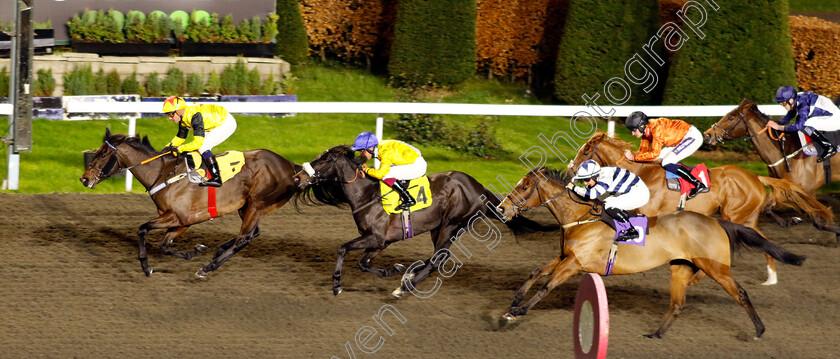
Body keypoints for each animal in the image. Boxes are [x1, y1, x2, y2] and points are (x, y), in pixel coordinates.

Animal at [79, 129, 302, 278]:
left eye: (102, 154)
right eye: (96, 152)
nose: (84, 179)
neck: (162, 173)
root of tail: (290, 166)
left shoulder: (178, 216)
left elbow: (142, 229)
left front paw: (146, 267)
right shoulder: (182, 222)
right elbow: (164, 245)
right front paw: (195, 250)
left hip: (257, 204)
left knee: (243, 238)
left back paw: (207, 268)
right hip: (246, 206)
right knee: (252, 233)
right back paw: (218, 251)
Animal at [292, 145, 556, 296]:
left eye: (323, 160)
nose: (297, 177)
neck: (366, 193)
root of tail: (478, 187)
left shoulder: (375, 237)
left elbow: (342, 249)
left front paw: (336, 285)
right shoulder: (381, 242)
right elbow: (363, 263)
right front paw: (393, 270)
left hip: (451, 224)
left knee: (440, 258)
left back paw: (405, 287)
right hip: (438, 227)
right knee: (438, 257)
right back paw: (408, 276)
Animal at [496, 169, 804, 340]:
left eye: (524, 187)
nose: (501, 209)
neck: (580, 218)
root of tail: (717, 222)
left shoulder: (574, 263)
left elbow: (547, 285)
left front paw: (518, 312)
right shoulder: (565, 257)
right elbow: (535, 272)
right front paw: (514, 302)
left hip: (716, 267)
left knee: (740, 293)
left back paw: (759, 331)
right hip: (680, 267)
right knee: (678, 304)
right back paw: (656, 333)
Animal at [572, 131, 832, 286]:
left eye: (585, 151)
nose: (571, 169)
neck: (639, 173)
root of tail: (755, 177)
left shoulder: (651, 214)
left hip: (734, 215)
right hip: (747, 218)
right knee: (763, 239)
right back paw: (771, 277)